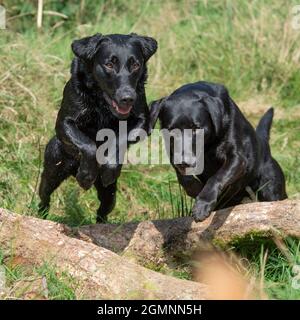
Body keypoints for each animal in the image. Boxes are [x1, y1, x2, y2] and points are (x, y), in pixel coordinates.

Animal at [38, 33, 158, 222]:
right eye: (109, 64)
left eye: (135, 64)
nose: (127, 98)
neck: (103, 105)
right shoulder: (64, 123)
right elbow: (88, 145)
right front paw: (86, 175)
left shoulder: (142, 122)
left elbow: (118, 139)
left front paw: (108, 169)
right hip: (52, 170)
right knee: (44, 195)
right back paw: (42, 214)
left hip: (109, 195)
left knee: (103, 211)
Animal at [149, 81, 288, 221]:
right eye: (171, 130)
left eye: (196, 129)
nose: (184, 162)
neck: (207, 145)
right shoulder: (173, 155)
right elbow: (184, 178)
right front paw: (196, 189)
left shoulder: (237, 158)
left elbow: (217, 177)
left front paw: (202, 204)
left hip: (271, 189)